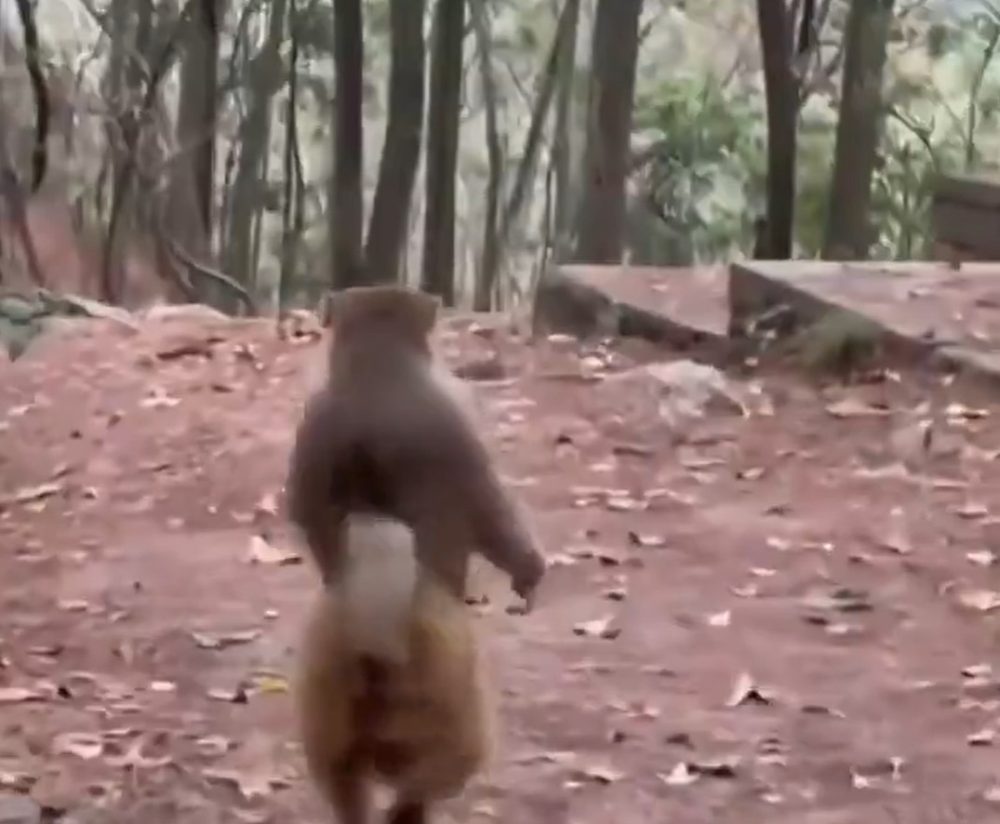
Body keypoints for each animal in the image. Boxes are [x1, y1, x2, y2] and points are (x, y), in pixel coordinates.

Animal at [285, 284, 546, 824]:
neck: (379, 371)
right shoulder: (454, 423)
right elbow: (492, 519)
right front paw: (528, 576)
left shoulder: (314, 424)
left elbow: (305, 511)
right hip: (448, 690)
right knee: (444, 766)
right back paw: (409, 810)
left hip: (328, 687)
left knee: (342, 777)